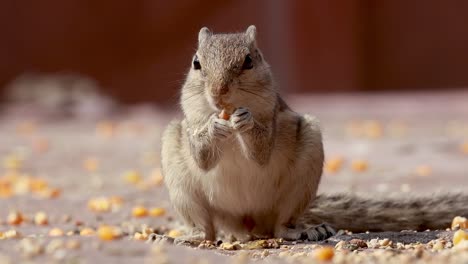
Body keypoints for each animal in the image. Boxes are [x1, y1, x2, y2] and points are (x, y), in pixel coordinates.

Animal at [159, 25, 466, 243]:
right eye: (196, 63)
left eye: (248, 61)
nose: (218, 93)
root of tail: (246, 222)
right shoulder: (191, 123)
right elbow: (203, 158)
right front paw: (214, 126)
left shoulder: (272, 115)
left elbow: (261, 151)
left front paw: (245, 121)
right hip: (181, 181)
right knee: (206, 229)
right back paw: (189, 237)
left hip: (303, 171)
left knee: (281, 226)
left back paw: (302, 231)